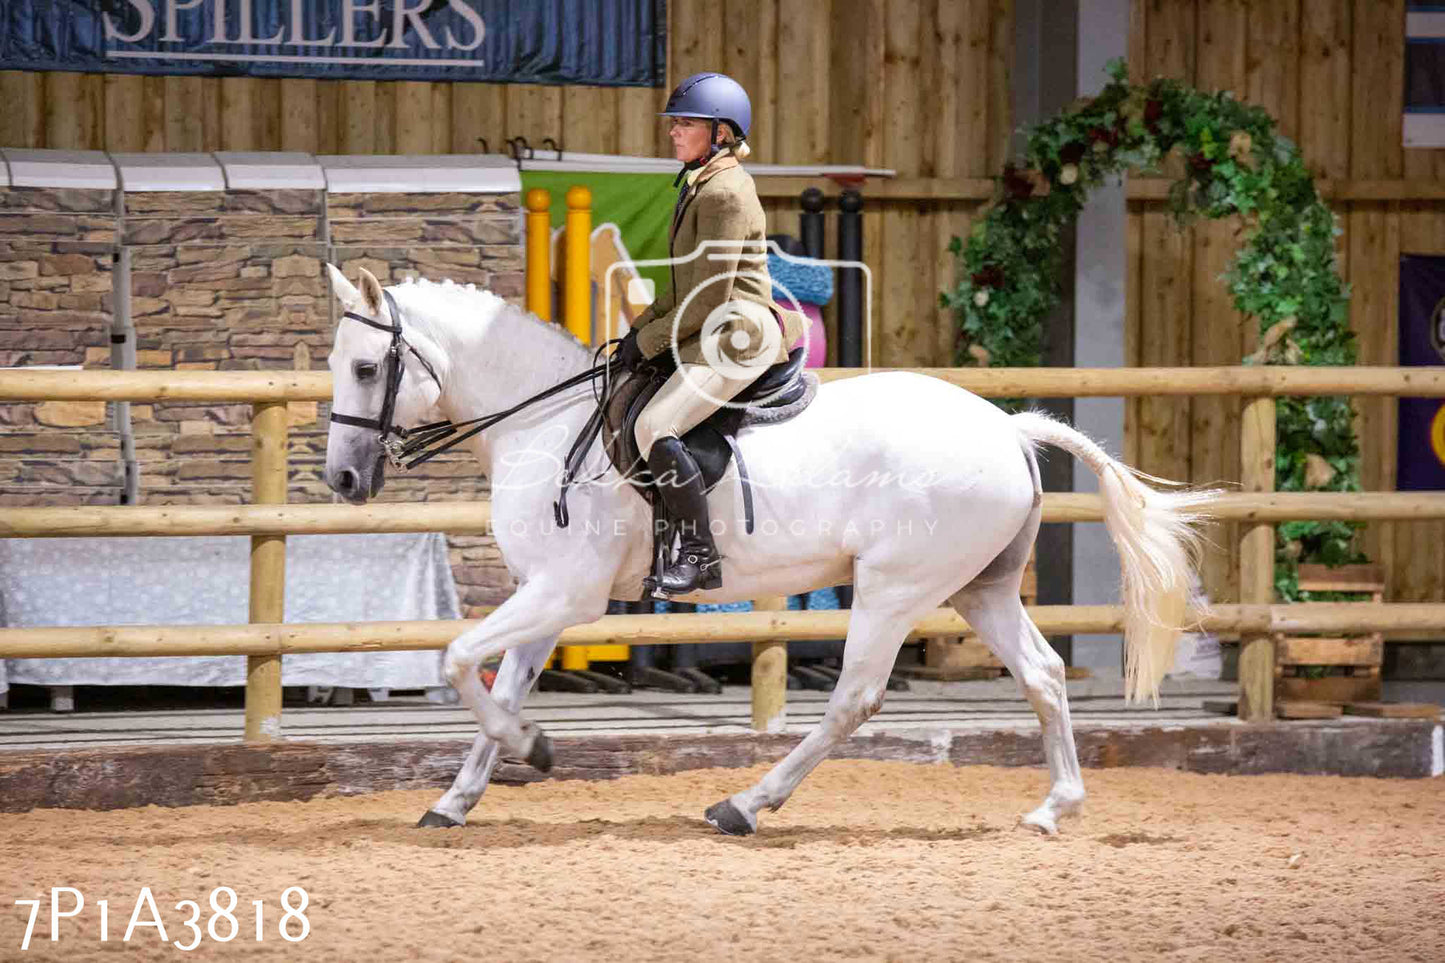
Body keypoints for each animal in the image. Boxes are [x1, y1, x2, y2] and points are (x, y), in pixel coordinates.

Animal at [322, 264, 1213, 832]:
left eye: (366, 368)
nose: (341, 477)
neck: (539, 419)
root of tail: (1009, 428)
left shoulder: (563, 592)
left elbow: (454, 657)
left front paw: (529, 749)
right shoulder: (544, 597)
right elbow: (497, 684)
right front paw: (458, 797)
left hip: (894, 588)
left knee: (855, 697)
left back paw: (743, 805)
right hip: (979, 588)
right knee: (1042, 673)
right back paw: (1053, 807)